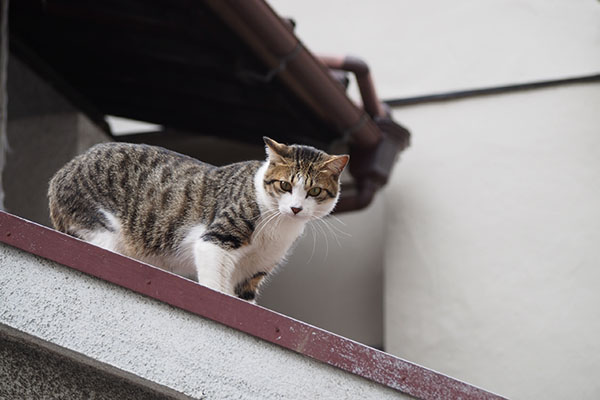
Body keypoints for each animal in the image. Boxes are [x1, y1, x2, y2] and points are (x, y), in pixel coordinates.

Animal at [49, 137, 350, 300]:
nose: (296, 208)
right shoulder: (215, 240)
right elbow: (215, 284)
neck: (278, 224)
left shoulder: (253, 271)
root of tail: (60, 173)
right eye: (285, 185)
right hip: (100, 227)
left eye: (314, 191)